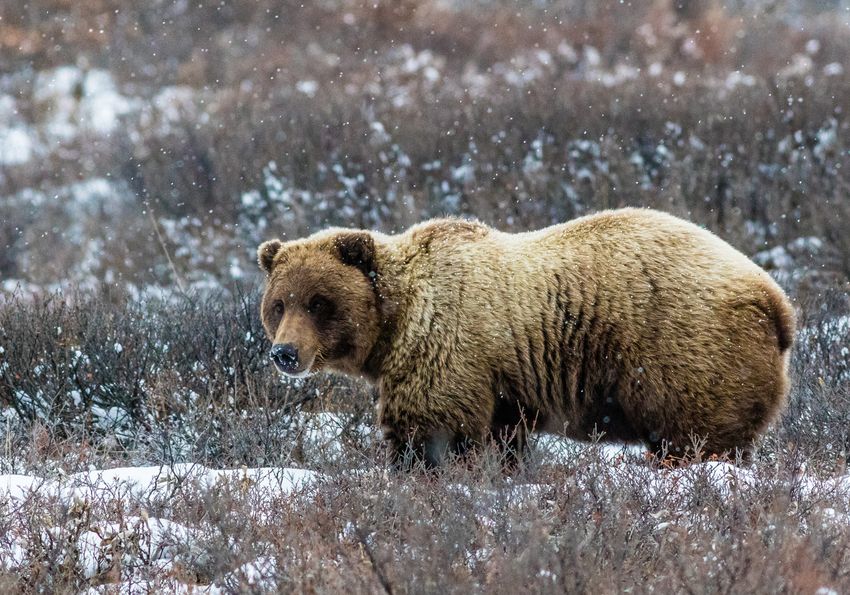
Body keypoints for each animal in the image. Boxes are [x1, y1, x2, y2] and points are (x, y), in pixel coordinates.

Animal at [257, 208, 795, 467]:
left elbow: (431, 430)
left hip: (686, 347)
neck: (396, 320)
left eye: (318, 303)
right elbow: (503, 439)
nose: (285, 353)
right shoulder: (502, 388)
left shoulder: (446, 347)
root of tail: (775, 299)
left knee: (695, 437)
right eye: (279, 303)